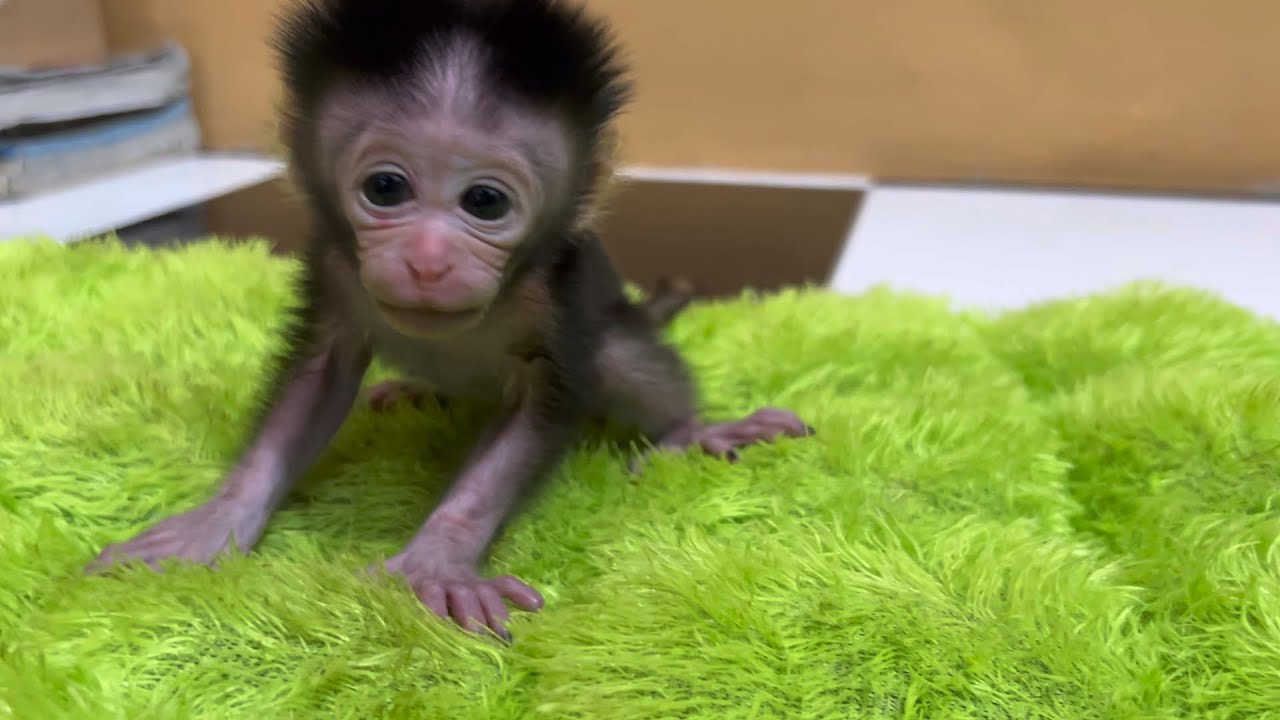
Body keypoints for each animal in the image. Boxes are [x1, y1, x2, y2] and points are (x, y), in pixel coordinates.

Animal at [87, 0, 813, 640]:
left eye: (484, 202)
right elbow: (315, 380)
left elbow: (538, 411)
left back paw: (696, 431)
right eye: (386, 189)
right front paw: (218, 520)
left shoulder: (557, 294)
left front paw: (437, 561)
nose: (428, 262)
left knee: (621, 359)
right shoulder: (334, 267)